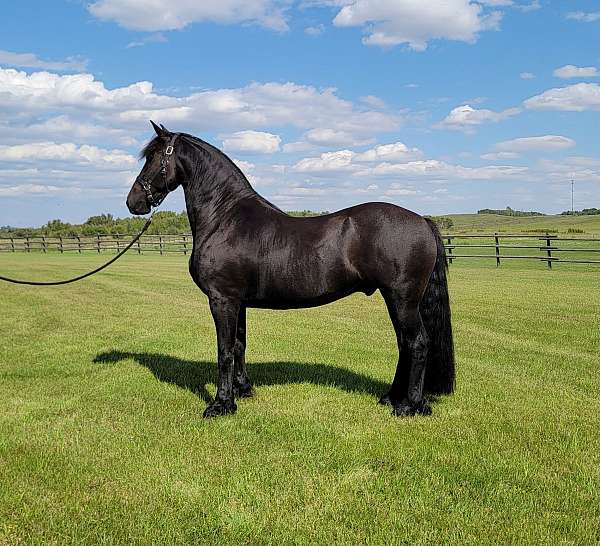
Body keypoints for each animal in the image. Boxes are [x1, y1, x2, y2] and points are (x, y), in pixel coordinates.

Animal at [127, 120, 454, 416]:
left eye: (154, 157)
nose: (134, 202)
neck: (225, 218)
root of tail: (422, 220)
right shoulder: (237, 301)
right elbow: (239, 345)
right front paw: (242, 391)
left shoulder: (222, 299)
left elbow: (224, 351)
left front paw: (221, 405)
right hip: (396, 299)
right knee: (404, 344)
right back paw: (392, 397)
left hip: (402, 299)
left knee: (417, 343)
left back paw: (410, 406)